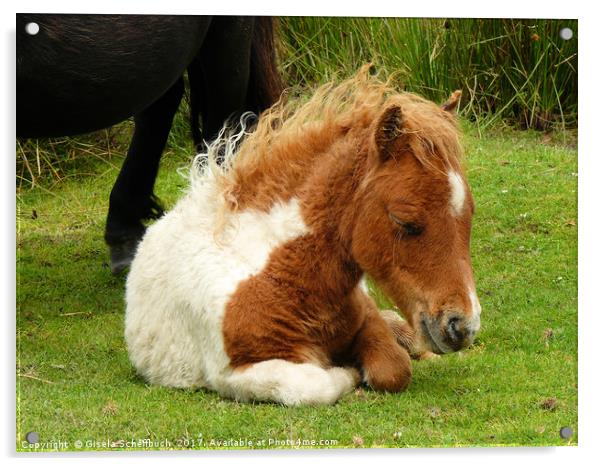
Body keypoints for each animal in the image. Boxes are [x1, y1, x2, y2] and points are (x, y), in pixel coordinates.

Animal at [124, 69, 480, 404]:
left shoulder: (365, 317)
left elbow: (393, 368)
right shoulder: (233, 374)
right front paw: (349, 370)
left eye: (469, 216)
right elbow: (318, 384)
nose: (463, 326)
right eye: (405, 221)